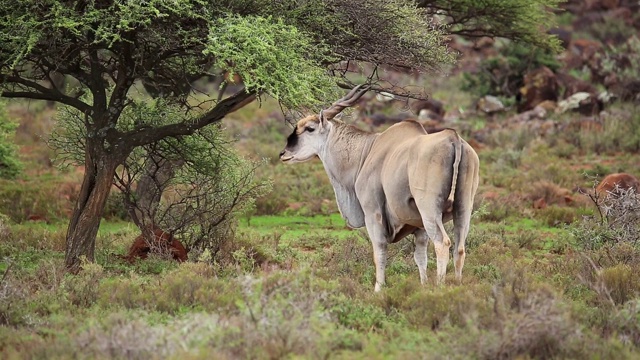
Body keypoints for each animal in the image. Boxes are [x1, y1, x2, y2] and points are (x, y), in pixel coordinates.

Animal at [280, 86, 480, 292]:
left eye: (309, 128)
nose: (284, 153)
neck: (366, 151)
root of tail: (453, 139)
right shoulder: (419, 226)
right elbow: (420, 257)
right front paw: (423, 285)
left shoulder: (373, 213)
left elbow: (379, 253)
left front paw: (378, 289)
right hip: (463, 207)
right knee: (459, 247)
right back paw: (457, 285)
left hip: (429, 209)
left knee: (442, 243)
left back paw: (439, 288)